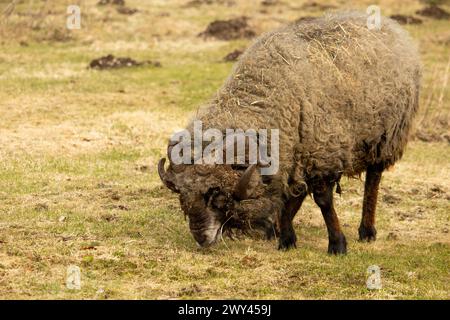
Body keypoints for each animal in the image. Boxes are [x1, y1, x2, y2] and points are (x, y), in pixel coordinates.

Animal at [156, 11, 420, 254]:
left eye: (217, 195)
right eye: (182, 196)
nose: (201, 238)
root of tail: (392, 25)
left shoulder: (321, 155)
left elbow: (323, 201)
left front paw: (337, 244)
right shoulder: (291, 154)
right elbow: (286, 196)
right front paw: (285, 238)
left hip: (384, 138)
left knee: (373, 180)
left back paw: (367, 231)